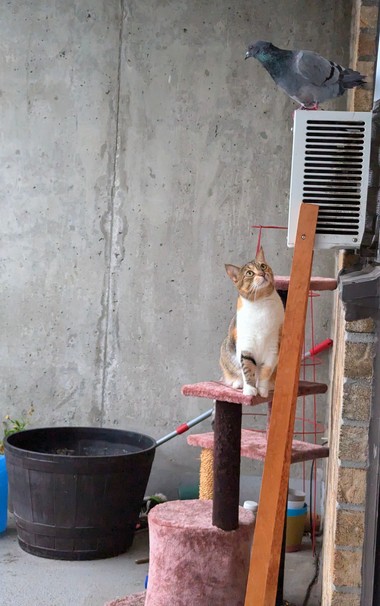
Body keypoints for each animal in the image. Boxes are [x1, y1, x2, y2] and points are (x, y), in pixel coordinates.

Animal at [218, 248, 284, 400]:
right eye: (249, 273)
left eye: (263, 266)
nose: (262, 273)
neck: (261, 302)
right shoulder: (246, 343)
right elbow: (247, 367)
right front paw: (249, 390)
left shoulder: (273, 345)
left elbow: (266, 370)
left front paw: (262, 390)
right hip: (226, 348)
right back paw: (238, 384)